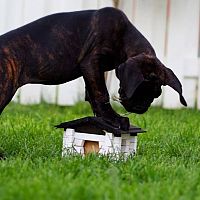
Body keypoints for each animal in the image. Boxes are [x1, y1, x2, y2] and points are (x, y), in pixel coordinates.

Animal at [0, 7, 187, 130]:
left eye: (156, 94)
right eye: (139, 89)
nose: (140, 108)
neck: (125, 35)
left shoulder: (93, 71)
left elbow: (92, 95)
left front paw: (104, 119)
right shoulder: (91, 63)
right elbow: (101, 93)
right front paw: (114, 119)